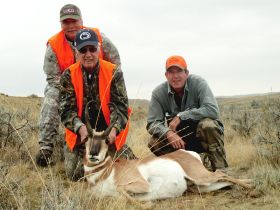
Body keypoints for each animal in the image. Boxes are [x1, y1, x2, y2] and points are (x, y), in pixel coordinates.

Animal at [83, 102, 252, 203]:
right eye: (87, 139)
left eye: (106, 140)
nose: (93, 154)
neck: (107, 172)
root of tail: (187, 152)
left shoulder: (142, 184)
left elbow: (123, 191)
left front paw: (147, 204)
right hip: (201, 185)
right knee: (223, 179)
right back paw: (248, 183)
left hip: (200, 176)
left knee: (221, 173)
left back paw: (251, 187)